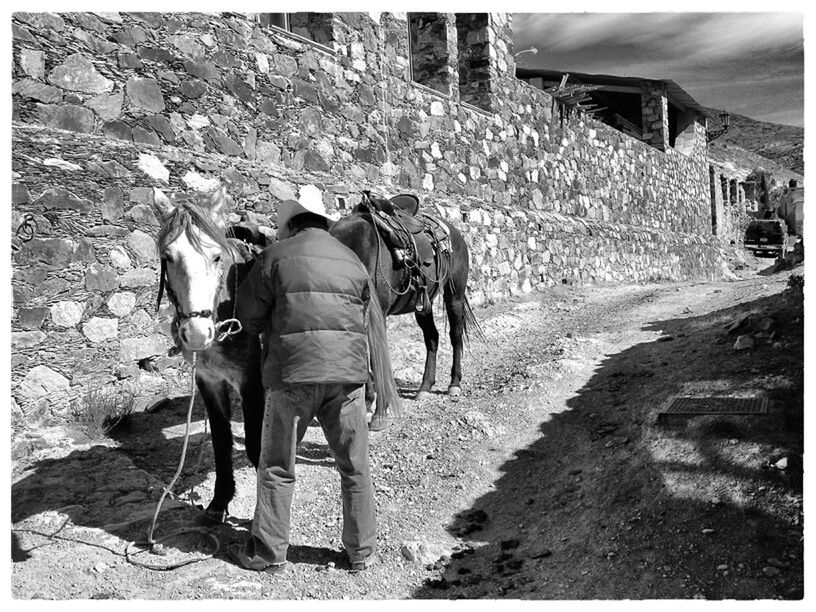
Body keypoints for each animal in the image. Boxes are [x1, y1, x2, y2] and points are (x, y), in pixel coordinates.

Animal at [332, 194, 482, 428]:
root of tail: (453, 231)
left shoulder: (377, 314)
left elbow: (376, 356)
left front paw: (379, 413)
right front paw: (368, 402)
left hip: (454, 295)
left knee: (455, 335)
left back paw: (454, 384)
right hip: (423, 304)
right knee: (432, 337)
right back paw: (424, 387)